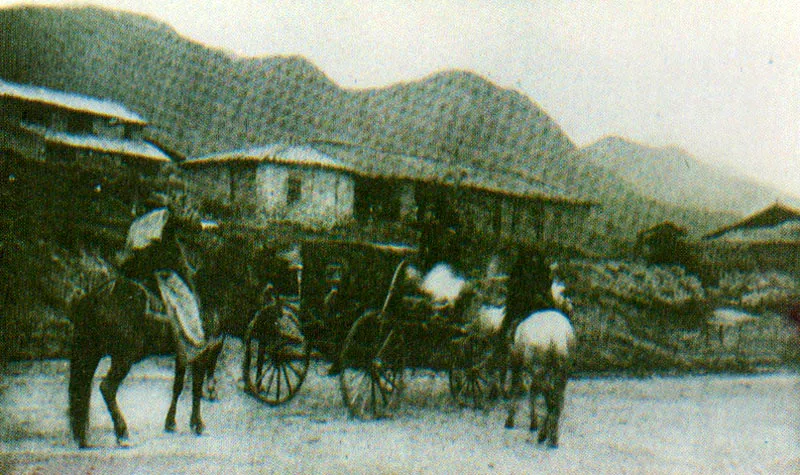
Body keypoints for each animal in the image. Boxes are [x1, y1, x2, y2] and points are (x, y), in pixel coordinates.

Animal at [67, 278, 219, 448]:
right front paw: (198, 424)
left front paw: (171, 423)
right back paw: (122, 434)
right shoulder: (202, 353)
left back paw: (82, 438)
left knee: (81, 390)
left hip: (90, 353)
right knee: (107, 388)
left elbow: (178, 387)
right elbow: (196, 389)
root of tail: (95, 297)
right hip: (123, 357)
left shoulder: (183, 354)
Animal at [506, 310, 576, 448]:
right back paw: (552, 438)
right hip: (562, 370)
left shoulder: (517, 362)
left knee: (549, 397)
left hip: (539, 368)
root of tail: (555, 339)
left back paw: (545, 436)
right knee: (557, 399)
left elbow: (517, 389)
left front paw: (511, 421)